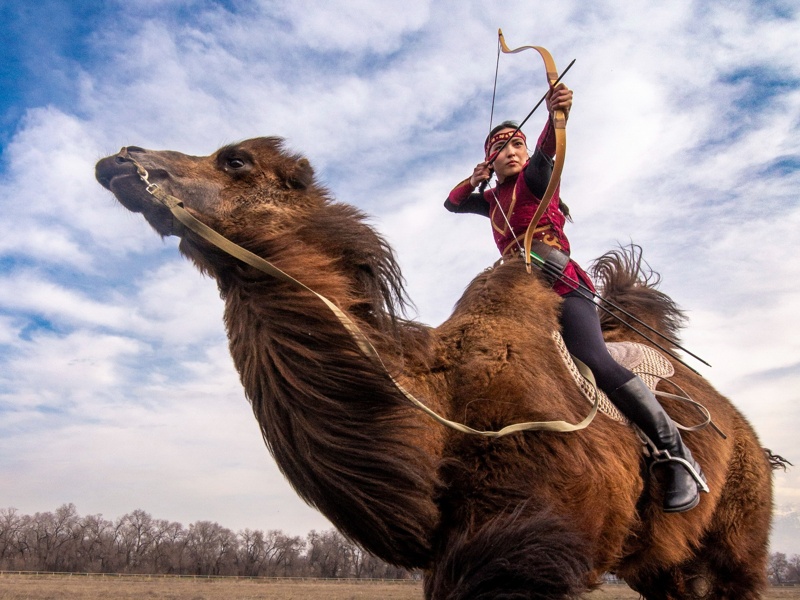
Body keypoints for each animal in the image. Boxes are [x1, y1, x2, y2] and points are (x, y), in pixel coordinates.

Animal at [96, 137, 775, 599]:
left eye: (235, 160)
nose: (121, 159)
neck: (443, 406)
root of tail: (752, 440)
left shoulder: (536, 543)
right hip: (665, 563)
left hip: (738, 539)